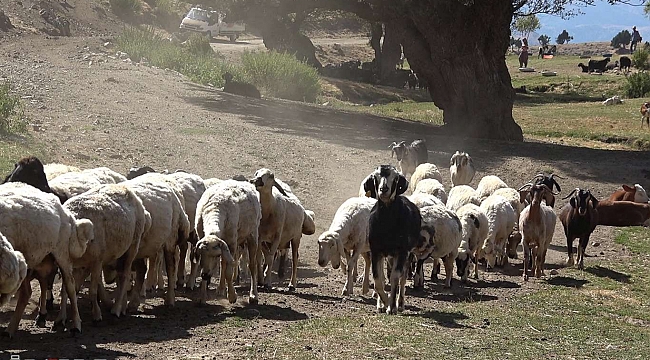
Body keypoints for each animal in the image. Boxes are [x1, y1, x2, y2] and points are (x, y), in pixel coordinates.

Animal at [0, 183, 93, 338]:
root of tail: (65, 212)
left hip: (61, 253)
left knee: (70, 286)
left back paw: (75, 324)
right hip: (37, 259)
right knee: (33, 289)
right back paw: (16, 326)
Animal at [60, 184, 151, 322]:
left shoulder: (97, 260)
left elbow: (92, 290)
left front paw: (96, 314)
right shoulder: (74, 265)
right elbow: (66, 290)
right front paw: (61, 317)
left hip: (133, 246)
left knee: (125, 276)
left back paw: (117, 309)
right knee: (121, 274)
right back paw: (121, 306)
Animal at [360, 165, 420, 314]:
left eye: (396, 178)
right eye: (375, 177)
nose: (384, 189)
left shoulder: (402, 251)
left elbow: (395, 278)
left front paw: (392, 307)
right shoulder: (376, 251)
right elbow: (378, 280)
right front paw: (384, 303)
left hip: (407, 254)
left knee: (402, 279)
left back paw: (401, 304)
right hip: (388, 256)